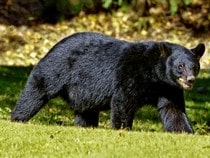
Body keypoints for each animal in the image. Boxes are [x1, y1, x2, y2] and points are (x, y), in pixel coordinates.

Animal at [10, 32, 205, 133]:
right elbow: (123, 101)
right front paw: (123, 129)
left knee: (85, 110)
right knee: (36, 91)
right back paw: (17, 118)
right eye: (180, 66)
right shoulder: (130, 74)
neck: (154, 75)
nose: (190, 80)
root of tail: (54, 45)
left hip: (83, 92)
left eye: (194, 66)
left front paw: (185, 132)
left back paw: (87, 126)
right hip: (56, 69)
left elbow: (173, 110)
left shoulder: (168, 88)